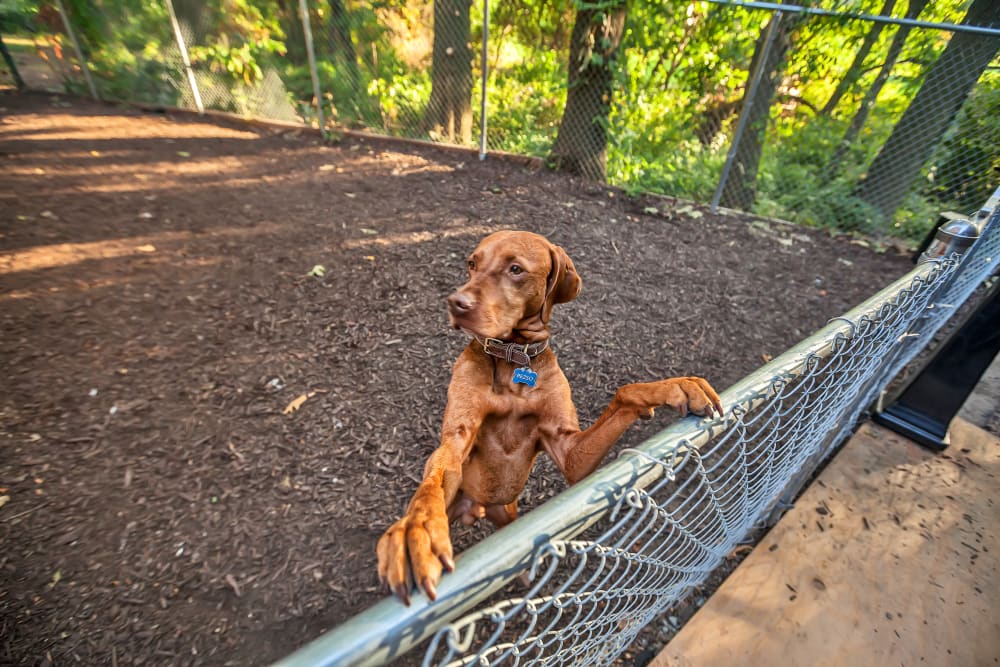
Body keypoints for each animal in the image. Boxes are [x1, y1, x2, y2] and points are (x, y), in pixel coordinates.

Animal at [376, 230, 720, 604]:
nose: (456, 303)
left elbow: (626, 391)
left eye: (515, 269)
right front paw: (415, 528)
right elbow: (432, 482)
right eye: (472, 263)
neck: (514, 358)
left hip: (508, 513)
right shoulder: (455, 441)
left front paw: (677, 386)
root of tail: (475, 506)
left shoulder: (569, 452)